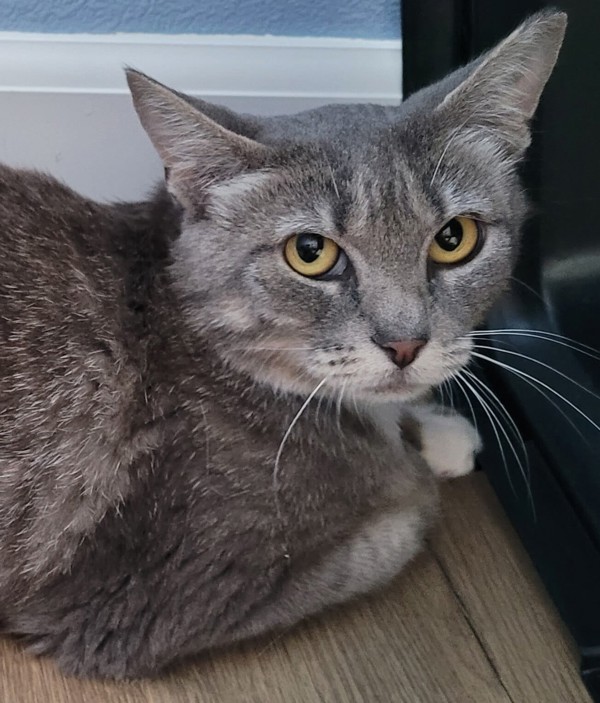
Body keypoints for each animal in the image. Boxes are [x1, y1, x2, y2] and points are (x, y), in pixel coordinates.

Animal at [0, 11, 564, 680]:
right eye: (310, 252)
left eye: (455, 238)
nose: (405, 344)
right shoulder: (137, 601)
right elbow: (406, 516)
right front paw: (416, 455)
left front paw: (427, 426)